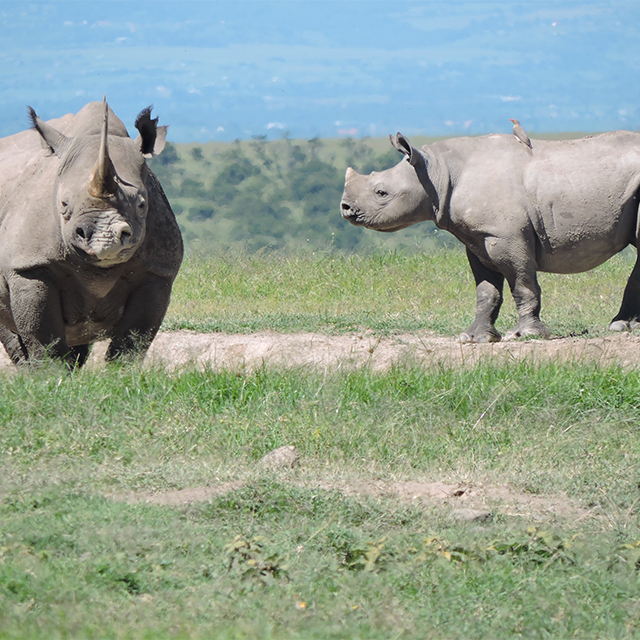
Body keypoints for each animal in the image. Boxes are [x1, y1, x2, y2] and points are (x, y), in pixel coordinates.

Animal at [0, 99, 183, 366]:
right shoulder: (29, 266)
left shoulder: (157, 271)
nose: (104, 238)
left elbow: (133, 339)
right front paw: (50, 374)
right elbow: (44, 340)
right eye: (63, 204)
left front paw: (121, 374)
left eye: (141, 205)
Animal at [340, 131, 640, 342]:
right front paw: (475, 338)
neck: (435, 171)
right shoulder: (478, 238)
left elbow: (522, 284)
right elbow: (486, 291)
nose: (345, 207)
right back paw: (624, 325)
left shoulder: (507, 236)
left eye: (381, 193)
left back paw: (621, 326)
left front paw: (527, 334)